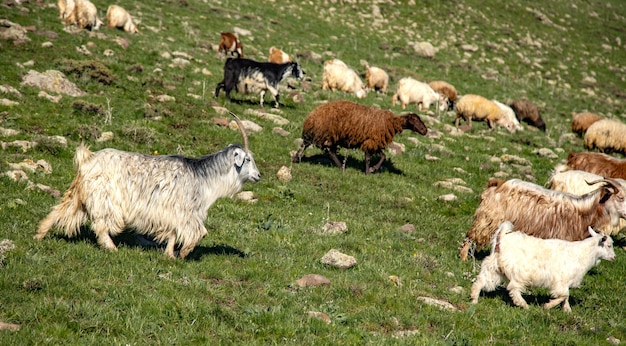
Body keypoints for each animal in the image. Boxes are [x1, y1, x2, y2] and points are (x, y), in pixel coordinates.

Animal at [290, 101, 426, 174]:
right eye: (415, 120)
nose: (425, 130)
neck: (391, 122)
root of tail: (311, 116)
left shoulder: (373, 142)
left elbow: (383, 156)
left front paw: (372, 169)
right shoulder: (371, 141)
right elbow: (368, 158)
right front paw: (368, 171)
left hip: (324, 135)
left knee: (312, 146)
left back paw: (296, 159)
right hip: (325, 134)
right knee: (326, 150)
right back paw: (341, 167)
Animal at [456, 177, 624, 260]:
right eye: (621, 197)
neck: (582, 213)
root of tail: (497, 184)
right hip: (488, 220)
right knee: (470, 236)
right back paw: (464, 258)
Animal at [470, 222, 612, 314]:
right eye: (609, 245)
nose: (613, 258)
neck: (583, 253)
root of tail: (502, 236)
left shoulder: (564, 282)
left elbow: (565, 296)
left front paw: (567, 310)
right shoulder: (561, 280)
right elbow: (564, 295)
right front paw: (548, 306)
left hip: (494, 267)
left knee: (481, 281)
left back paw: (474, 299)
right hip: (519, 271)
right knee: (513, 288)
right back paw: (523, 305)